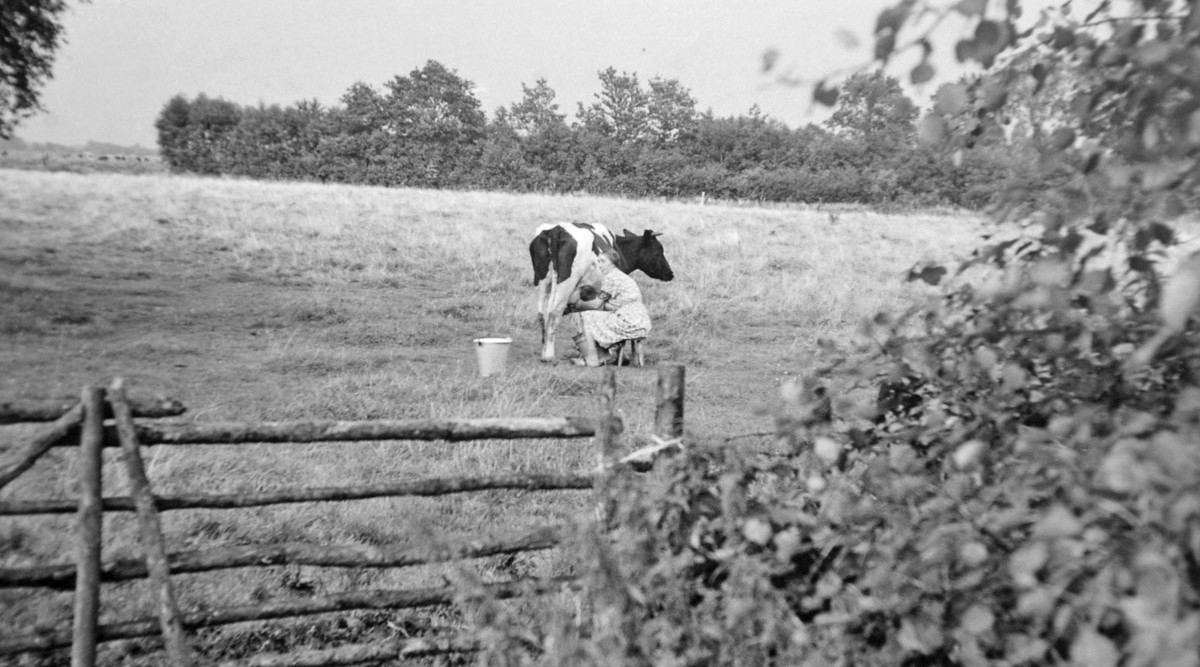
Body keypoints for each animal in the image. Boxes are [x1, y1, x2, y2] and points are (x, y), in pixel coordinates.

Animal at [528, 221, 672, 362]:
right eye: (658, 250)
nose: (670, 273)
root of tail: (557, 229)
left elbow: (580, 318)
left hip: (543, 281)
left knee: (542, 314)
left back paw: (544, 351)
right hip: (565, 284)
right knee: (554, 313)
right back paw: (548, 356)